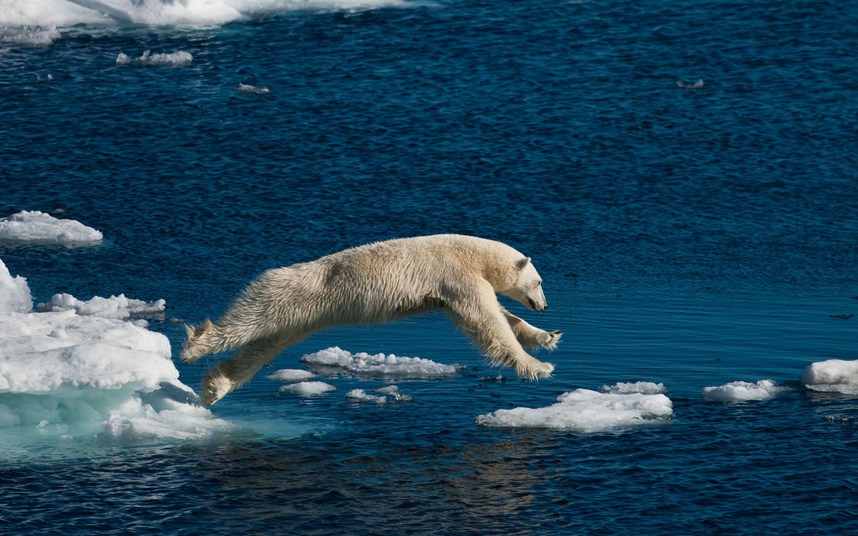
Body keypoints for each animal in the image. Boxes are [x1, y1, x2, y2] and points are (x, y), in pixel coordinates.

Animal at [181, 234, 560, 406]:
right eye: (539, 282)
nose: (544, 306)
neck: (472, 253)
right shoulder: (456, 275)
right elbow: (487, 322)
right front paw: (538, 367)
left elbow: (501, 317)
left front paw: (547, 336)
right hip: (284, 296)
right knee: (248, 322)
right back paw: (195, 346)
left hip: (300, 318)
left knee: (261, 348)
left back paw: (216, 387)